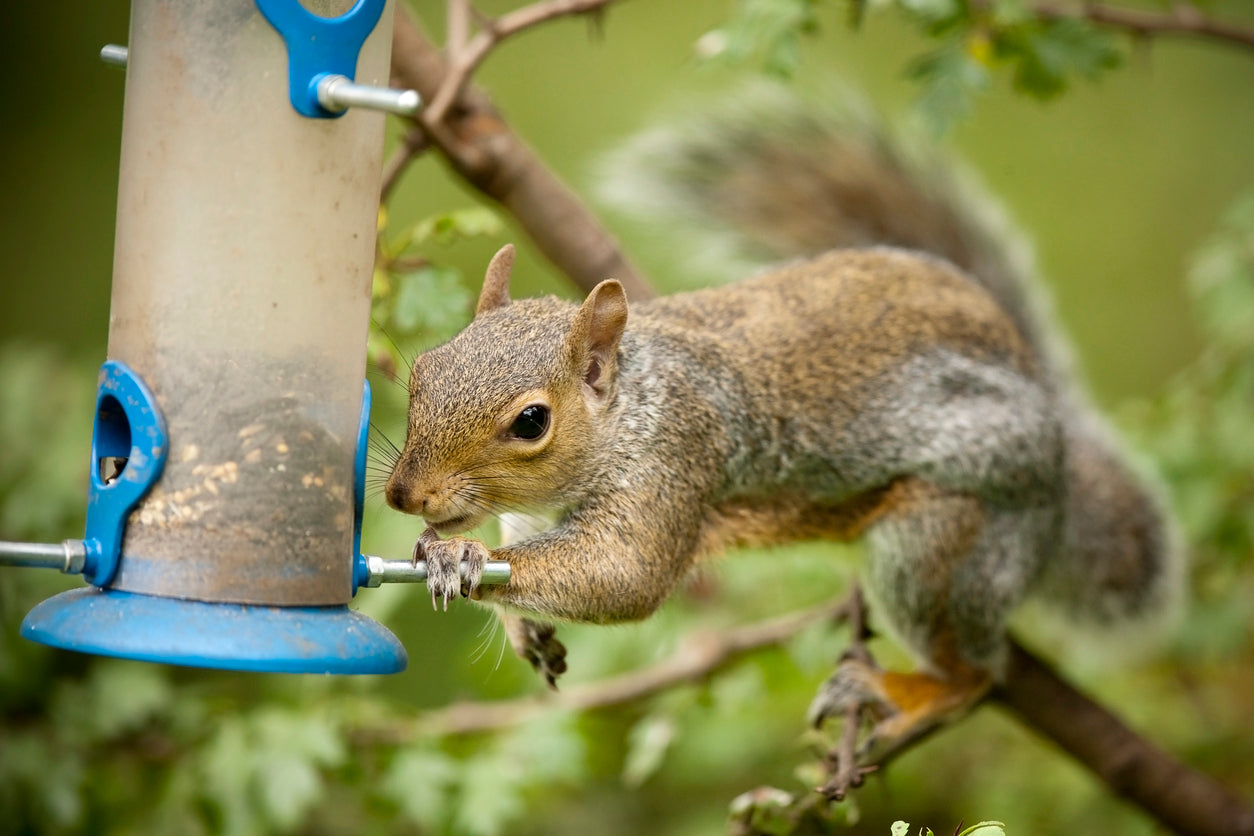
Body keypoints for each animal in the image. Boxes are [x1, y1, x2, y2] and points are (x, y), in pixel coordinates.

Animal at [386, 88, 1178, 757]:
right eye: (423, 367)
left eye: (531, 422)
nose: (404, 496)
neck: (630, 407)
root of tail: (1058, 472)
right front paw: (518, 618)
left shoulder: (678, 455)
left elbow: (626, 574)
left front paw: (463, 559)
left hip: (943, 545)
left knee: (977, 672)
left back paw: (906, 691)